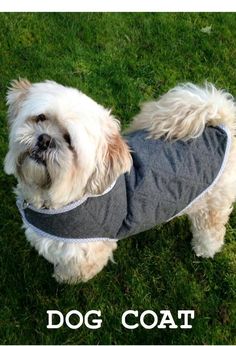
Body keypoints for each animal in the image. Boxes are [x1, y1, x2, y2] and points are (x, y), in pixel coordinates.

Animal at [3, 79, 236, 282]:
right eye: (40, 118)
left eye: (69, 141)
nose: (45, 139)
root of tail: (221, 125)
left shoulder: (87, 252)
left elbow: (75, 271)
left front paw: (63, 278)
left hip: (213, 204)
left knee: (212, 228)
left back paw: (205, 249)